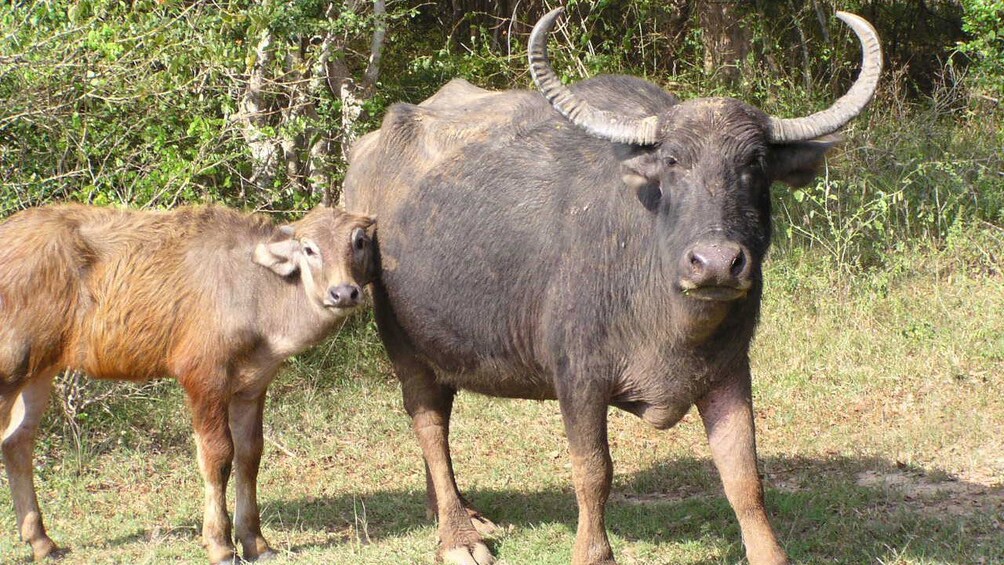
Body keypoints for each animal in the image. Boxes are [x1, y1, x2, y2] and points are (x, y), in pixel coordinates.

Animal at [345, 8, 879, 565]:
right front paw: (592, 550)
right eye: (672, 161)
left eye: (754, 162)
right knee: (429, 423)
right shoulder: (578, 378)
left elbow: (744, 478)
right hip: (402, 342)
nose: (715, 264)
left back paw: (458, 510)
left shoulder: (730, 371)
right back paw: (458, 536)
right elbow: (594, 472)